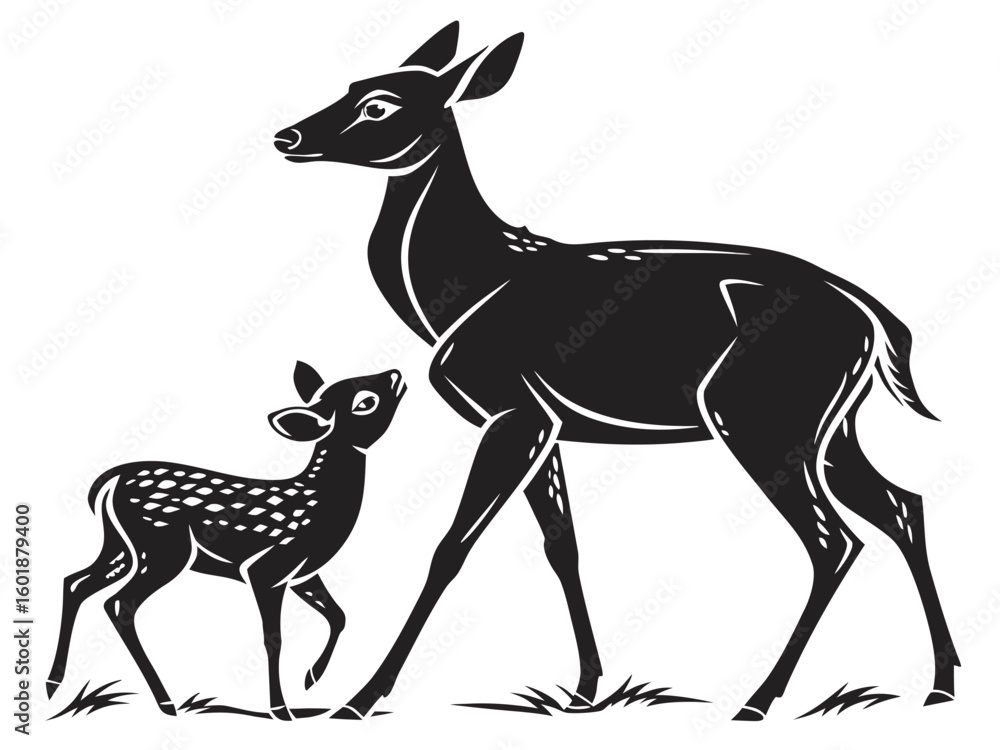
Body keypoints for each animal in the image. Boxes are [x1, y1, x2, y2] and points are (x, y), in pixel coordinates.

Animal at [46, 363, 407, 720]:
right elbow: (273, 639)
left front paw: (311, 679)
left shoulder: (301, 573)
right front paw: (281, 709)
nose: (395, 374)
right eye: (365, 403)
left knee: (77, 582)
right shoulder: (267, 568)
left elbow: (338, 615)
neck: (322, 505)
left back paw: (54, 684)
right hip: (164, 547)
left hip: (122, 545)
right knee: (120, 602)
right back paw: (166, 702)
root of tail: (111, 482)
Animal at [273, 22, 958, 721]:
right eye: (350, 86)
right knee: (902, 504)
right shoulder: (546, 423)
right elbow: (562, 547)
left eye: (378, 105)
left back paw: (758, 700)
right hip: (829, 424)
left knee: (834, 541)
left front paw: (360, 698)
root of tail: (876, 322)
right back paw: (938, 684)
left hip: (759, 415)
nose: (287, 137)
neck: (457, 292)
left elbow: (451, 548)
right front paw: (584, 688)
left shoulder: (510, 410)